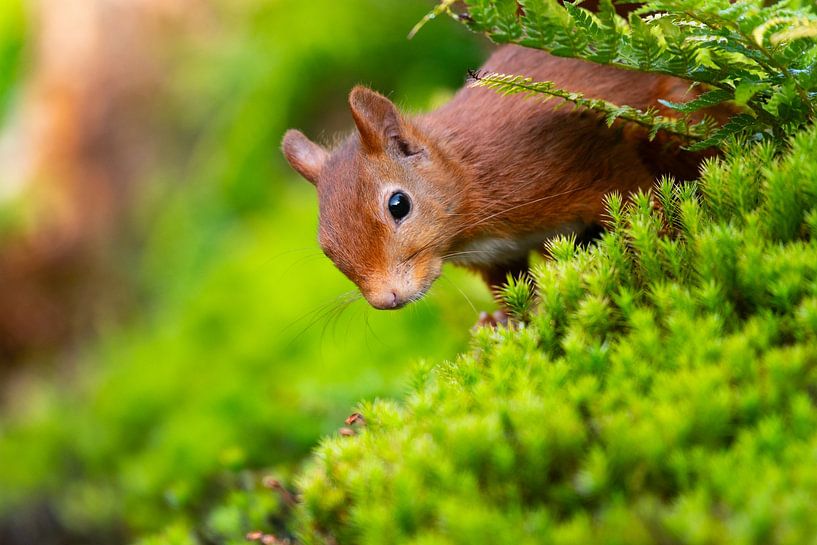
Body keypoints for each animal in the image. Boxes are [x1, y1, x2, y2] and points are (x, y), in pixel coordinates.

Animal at [282, 45, 722, 312]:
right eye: (327, 248)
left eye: (399, 205)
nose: (386, 300)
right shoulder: (494, 258)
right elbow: (508, 285)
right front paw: (501, 320)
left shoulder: (585, 159)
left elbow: (636, 199)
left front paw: (657, 243)